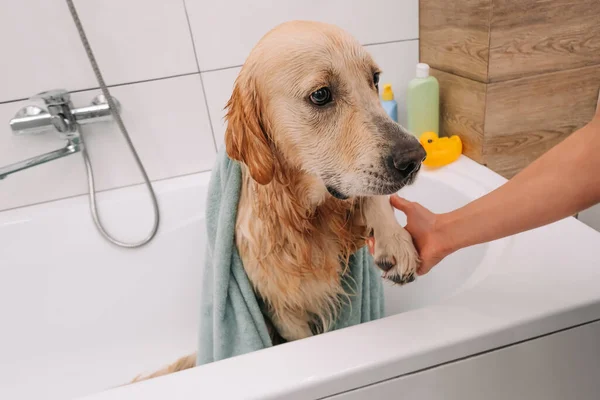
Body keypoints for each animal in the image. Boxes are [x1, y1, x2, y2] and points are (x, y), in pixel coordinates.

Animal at [131, 20, 424, 382]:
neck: (302, 214)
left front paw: (395, 241)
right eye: (321, 95)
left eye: (375, 79)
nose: (415, 157)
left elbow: (374, 200)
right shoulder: (284, 310)